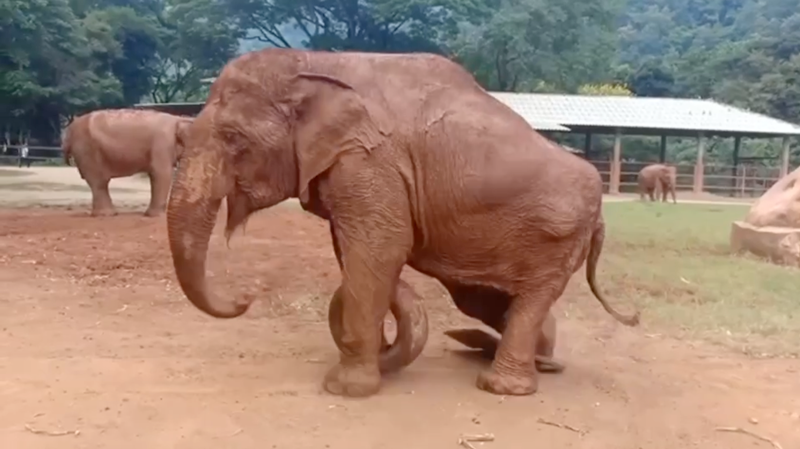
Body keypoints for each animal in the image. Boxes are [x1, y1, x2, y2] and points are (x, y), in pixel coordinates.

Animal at [61, 108, 193, 217]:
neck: (179, 118)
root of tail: (69, 129)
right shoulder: (162, 143)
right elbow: (162, 173)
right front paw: (156, 216)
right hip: (87, 149)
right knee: (99, 181)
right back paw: (106, 215)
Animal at [166, 47, 640, 398]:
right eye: (182, 139)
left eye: (233, 139)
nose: (245, 298)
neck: (316, 63)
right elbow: (356, 252)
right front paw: (377, 355)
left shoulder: (370, 163)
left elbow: (381, 249)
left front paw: (346, 388)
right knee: (486, 300)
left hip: (558, 236)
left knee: (529, 299)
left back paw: (500, 386)